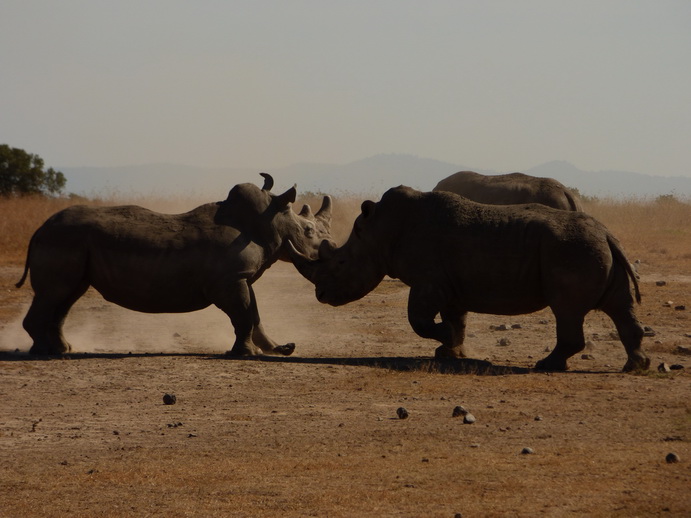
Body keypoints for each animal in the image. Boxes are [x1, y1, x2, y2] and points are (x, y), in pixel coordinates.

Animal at [13, 175, 332, 358]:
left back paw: (62, 350)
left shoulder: (239, 277)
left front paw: (280, 349)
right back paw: (43, 353)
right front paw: (246, 354)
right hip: (63, 239)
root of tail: (39, 230)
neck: (268, 221)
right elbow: (243, 314)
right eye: (308, 231)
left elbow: (254, 314)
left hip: (72, 245)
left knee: (65, 298)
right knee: (55, 294)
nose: (324, 254)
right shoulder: (229, 280)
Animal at [290, 187, 652, 374]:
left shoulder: (429, 280)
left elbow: (418, 319)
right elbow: (456, 317)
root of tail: (607, 234)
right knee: (619, 306)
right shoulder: (449, 283)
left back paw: (546, 365)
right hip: (593, 248)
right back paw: (636, 367)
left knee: (567, 310)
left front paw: (446, 341)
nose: (321, 295)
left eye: (340, 263)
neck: (379, 232)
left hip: (573, 250)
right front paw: (450, 351)